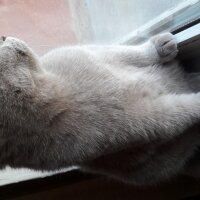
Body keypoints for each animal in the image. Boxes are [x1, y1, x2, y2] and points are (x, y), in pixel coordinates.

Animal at [0, 33, 200, 186]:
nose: (4, 36)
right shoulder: (146, 122)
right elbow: (185, 108)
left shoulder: (98, 54)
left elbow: (135, 53)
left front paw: (160, 47)